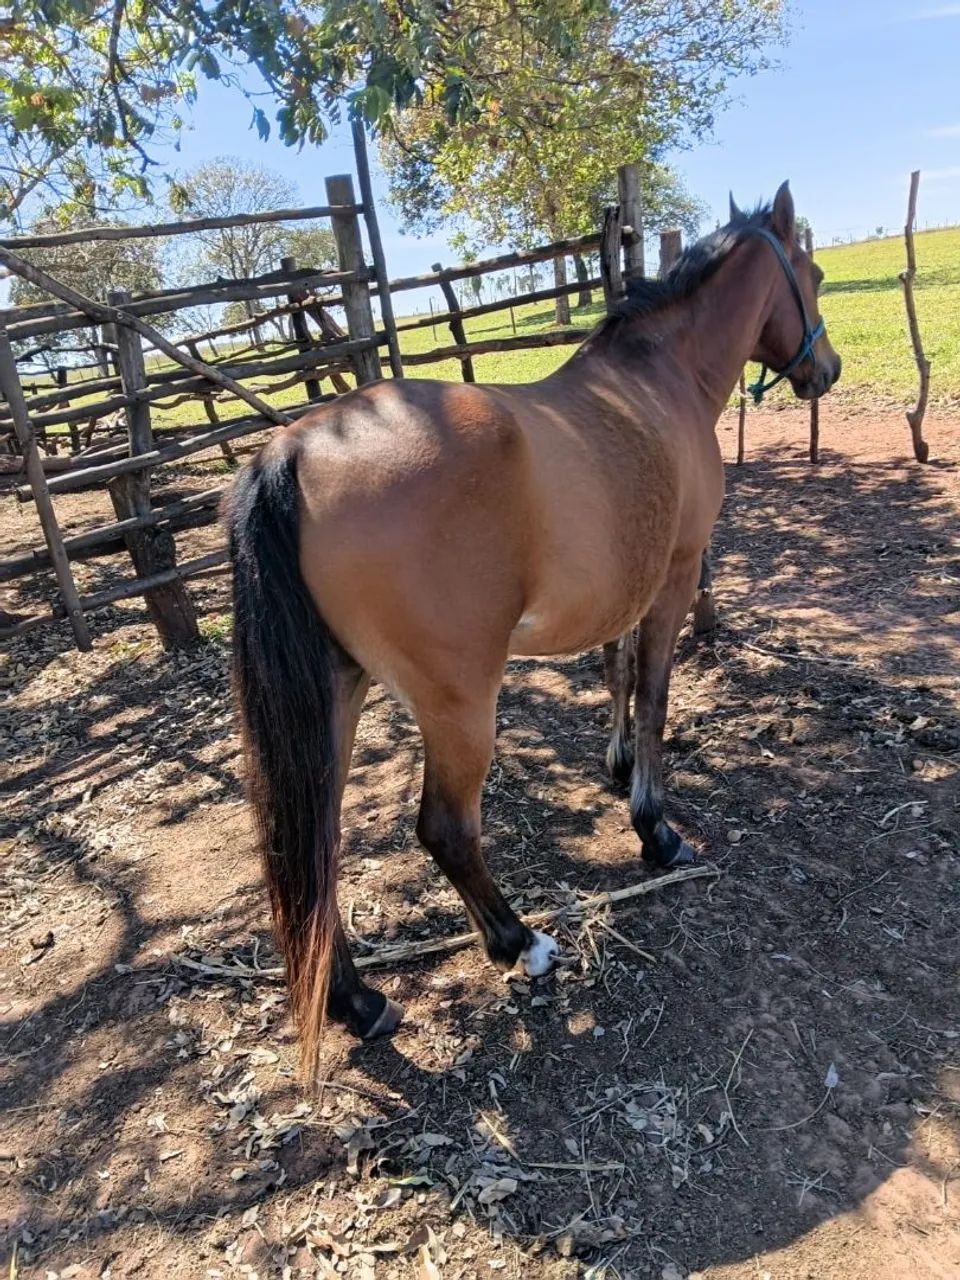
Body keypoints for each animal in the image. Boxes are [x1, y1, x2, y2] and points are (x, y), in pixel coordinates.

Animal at [225, 181, 841, 1075]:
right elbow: (654, 695)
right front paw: (655, 828)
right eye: (816, 276)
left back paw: (358, 1001)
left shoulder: (628, 582)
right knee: (445, 829)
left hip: (337, 694)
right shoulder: (675, 575)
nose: (826, 370)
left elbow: (617, 671)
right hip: (458, 703)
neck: (660, 378)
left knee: (317, 850)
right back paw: (518, 943)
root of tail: (296, 453)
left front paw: (617, 767)